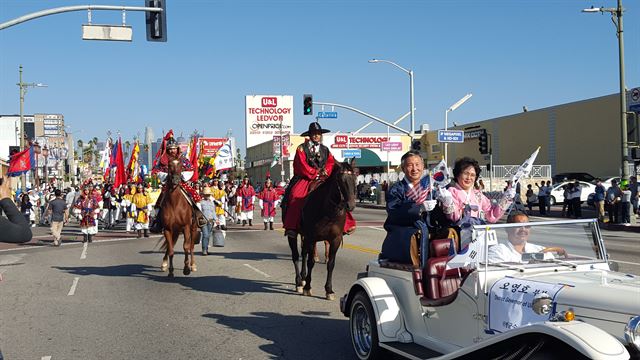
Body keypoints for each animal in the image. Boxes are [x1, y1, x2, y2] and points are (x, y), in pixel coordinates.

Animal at [298, 159, 358, 300]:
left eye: (354, 178)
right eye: (341, 180)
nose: (351, 205)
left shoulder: (335, 239)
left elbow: (331, 264)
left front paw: (329, 290)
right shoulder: (312, 237)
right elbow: (310, 261)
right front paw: (308, 287)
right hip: (304, 236)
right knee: (304, 253)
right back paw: (302, 279)